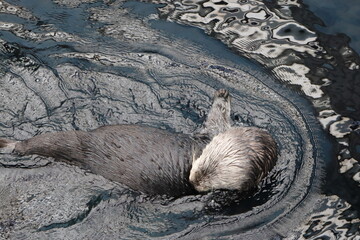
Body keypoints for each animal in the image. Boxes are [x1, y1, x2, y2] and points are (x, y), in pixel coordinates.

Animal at [0, 89, 278, 196]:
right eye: (208, 159)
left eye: (215, 174)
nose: (193, 178)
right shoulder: (208, 136)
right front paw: (222, 95)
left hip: (73, 141)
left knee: (39, 143)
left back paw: (8, 144)